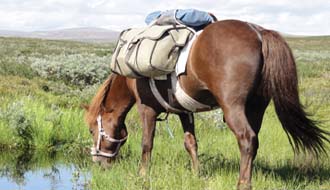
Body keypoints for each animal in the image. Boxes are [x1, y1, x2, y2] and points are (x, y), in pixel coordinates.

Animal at [84, 18, 328, 189]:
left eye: (92, 130)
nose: (98, 161)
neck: (131, 77)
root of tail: (259, 33)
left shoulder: (147, 109)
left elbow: (146, 143)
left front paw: (143, 175)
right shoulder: (184, 111)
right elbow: (190, 143)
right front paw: (197, 173)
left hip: (233, 107)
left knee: (246, 139)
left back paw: (243, 183)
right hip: (257, 107)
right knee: (254, 141)